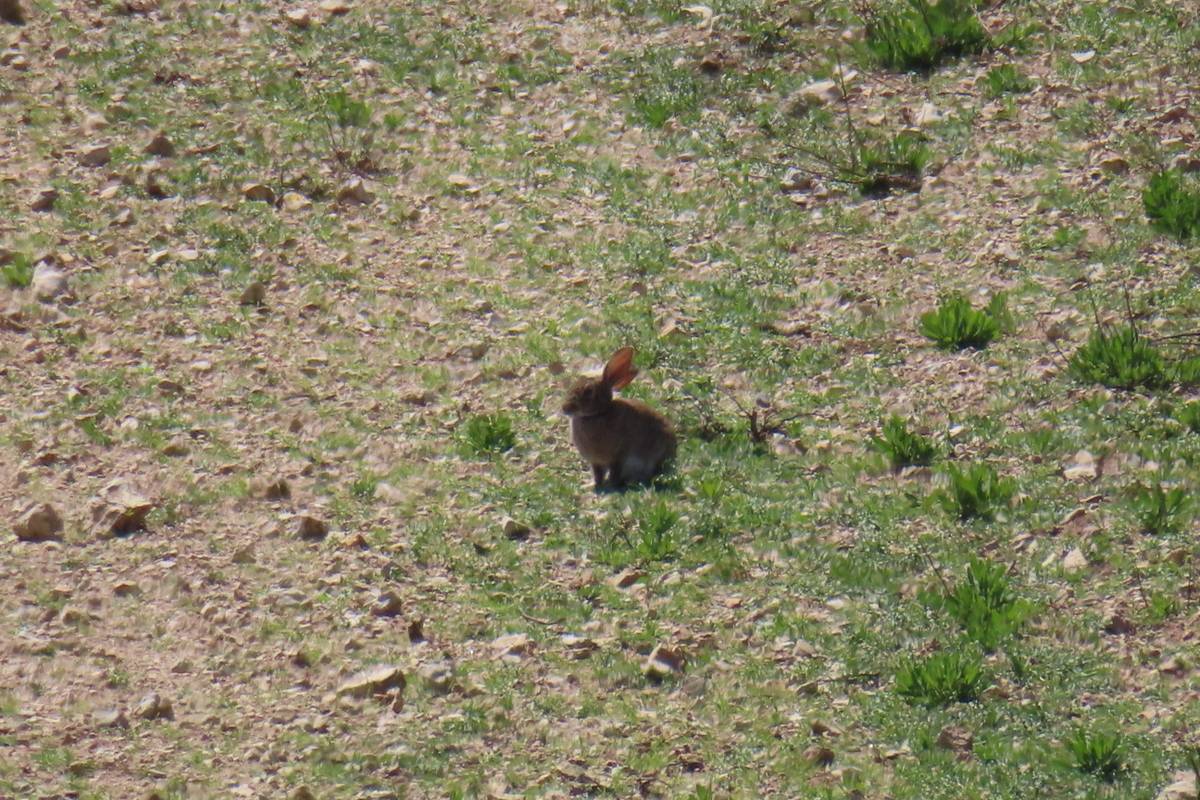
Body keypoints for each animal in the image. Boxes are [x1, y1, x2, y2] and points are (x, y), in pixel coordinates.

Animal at [559, 347, 676, 491]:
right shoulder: (596, 462)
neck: (598, 414)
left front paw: (609, 486)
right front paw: (590, 485)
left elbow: (614, 472)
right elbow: (597, 475)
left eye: (589, 391)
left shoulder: (619, 456)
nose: (564, 408)